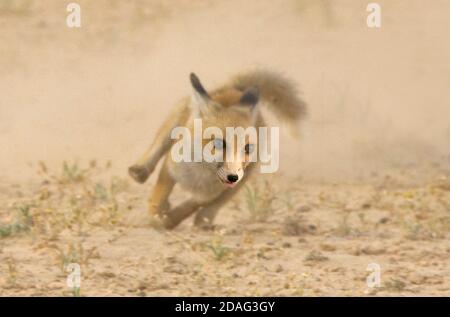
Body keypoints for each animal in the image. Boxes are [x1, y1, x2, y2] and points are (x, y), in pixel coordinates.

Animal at [128, 69, 308, 228]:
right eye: (220, 143)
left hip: (243, 177)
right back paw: (140, 170)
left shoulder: (214, 192)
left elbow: (192, 204)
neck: (201, 174)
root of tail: (236, 91)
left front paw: (171, 218)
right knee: (157, 147)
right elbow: (160, 192)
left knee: (212, 207)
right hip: (177, 120)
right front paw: (157, 214)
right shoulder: (172, 167)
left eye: (247, 148)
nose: (233, 176)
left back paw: (203, 220)